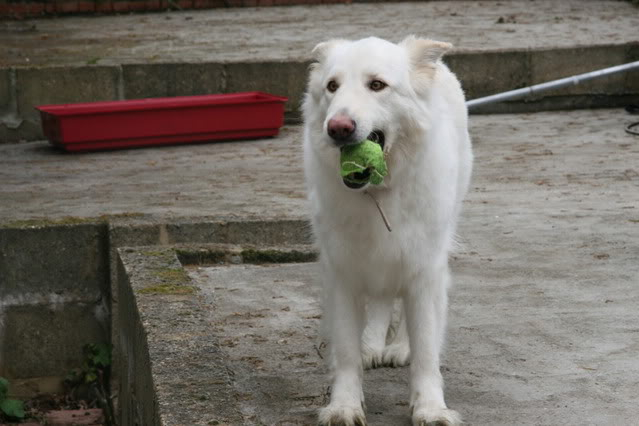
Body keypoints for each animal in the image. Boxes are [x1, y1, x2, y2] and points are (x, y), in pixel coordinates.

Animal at [302, 37, 472, 426]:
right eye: (332, 86)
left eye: (377, 85)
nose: (338, 127)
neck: (377, 190)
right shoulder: (343, 271)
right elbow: (346, 352)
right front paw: (344, 405)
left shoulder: (423, 269)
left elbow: (426, 350)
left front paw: (430, 408)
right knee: (379, 300)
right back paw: (372, 345)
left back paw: (397, 348)